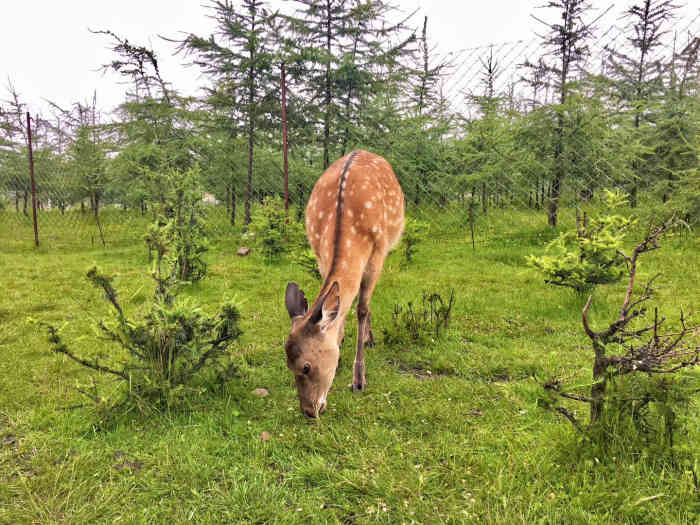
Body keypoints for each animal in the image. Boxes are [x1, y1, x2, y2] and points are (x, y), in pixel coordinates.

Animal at [284, 149, 404, 416]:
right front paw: (339, 357)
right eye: (287, 365)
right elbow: (339, 309)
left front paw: (358, 379)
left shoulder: (377, 254)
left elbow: (361, 309)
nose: (309, 411)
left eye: (306, 366)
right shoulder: (320, 255)